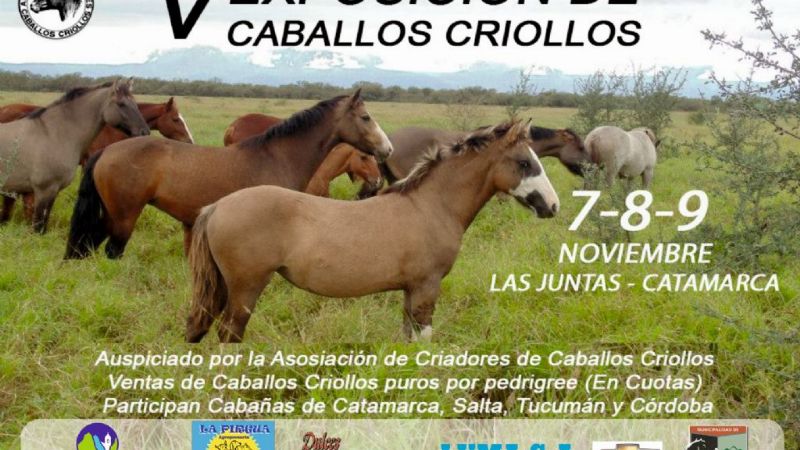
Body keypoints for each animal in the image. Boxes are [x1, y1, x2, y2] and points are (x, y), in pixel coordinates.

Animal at [0, 79, 149, 233]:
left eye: (135, 104)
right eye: (121, 104)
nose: (144, 132)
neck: (52, 134)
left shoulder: (52, 192)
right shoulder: (44, 191)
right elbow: (38, 228)